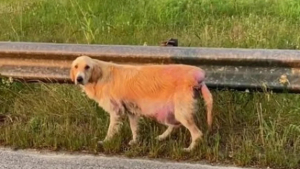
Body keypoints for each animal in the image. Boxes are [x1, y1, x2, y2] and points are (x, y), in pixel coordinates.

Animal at [69, 55, 213, 152]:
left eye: (87, 67)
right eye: (76, 66)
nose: (79, 79)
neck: (100, 76)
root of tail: (199, 75)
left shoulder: (116, 111)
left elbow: (111, 130)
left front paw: (105, 142)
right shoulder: (131, 111)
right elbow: (134, 128)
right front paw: (134, 142)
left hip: (180, 112)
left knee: (197, 133)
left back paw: (189, 149)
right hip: (171, 111)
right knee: (174, 125)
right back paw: (161, 137)